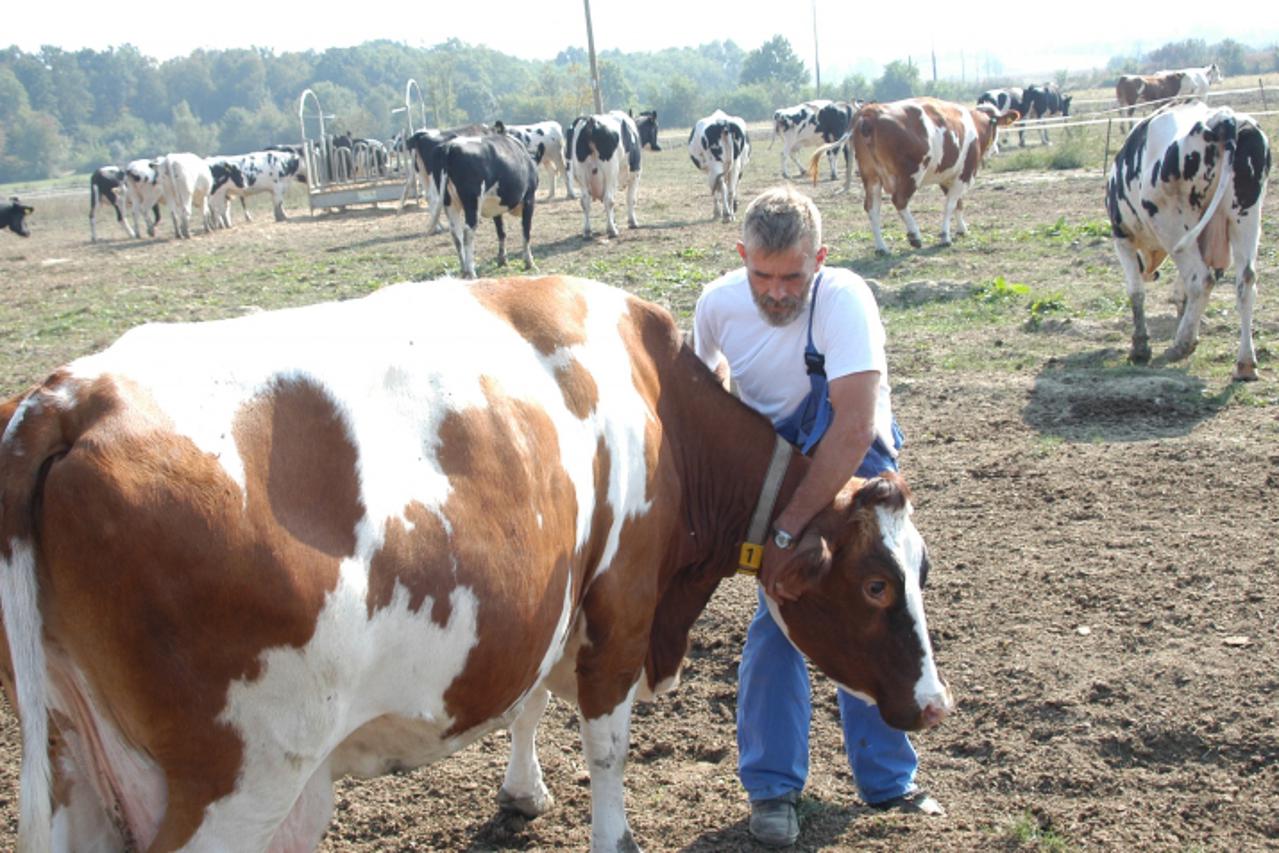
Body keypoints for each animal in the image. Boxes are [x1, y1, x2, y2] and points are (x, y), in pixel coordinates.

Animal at [0, 273, 951, 853]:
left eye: (923, 572)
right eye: (874, 583)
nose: (936, 704)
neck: (661, 405)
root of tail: (69, 396)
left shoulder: (546, 593)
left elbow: (528, 699)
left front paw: (522, 791)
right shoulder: (619, 605)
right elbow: (606, 743)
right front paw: (613, 833)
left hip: (75, 754)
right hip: (241, 778)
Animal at [424, 125, 534, 278]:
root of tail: (449, 146)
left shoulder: (496, 207)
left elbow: (501, 231)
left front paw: (502, 259)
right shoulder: (529, 198)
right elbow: (526, 231)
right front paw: (529, 262)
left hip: (449, 203)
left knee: (456, 234)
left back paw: (464, 269)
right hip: (472, 202)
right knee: (468, 231)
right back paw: (471, 272)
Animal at [570, 109, 644, 239]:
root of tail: (591, 120)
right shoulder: (635, 172)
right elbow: (630, 198)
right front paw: (632, 222)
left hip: (581, 174)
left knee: (585, 201)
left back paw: (587, 231)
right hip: (610, 172)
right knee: (608, 200)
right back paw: (612, 230)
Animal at [808, 97, 1018, 253]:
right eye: (995, 127)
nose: (996, 150)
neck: (974, 125)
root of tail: (869, 112)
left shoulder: (947, 176)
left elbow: (958, 204)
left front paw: (961, 229)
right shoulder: (964, 174)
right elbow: (950, 205)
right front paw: (945, 236)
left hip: (871, 177)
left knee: (872, 208)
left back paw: (882, 248)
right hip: (910, 174)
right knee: (899, 201)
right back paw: (915, 235)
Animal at [1105, 101, 1273, 381]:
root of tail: (1224, 119)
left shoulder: (1122, 237)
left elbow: (1136, 292)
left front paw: (1140, 347)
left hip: (1172, 226)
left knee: (1201, 279)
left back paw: (1181, 345)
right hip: (1245, 216)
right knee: (1246, 282)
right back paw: (1245, 363)